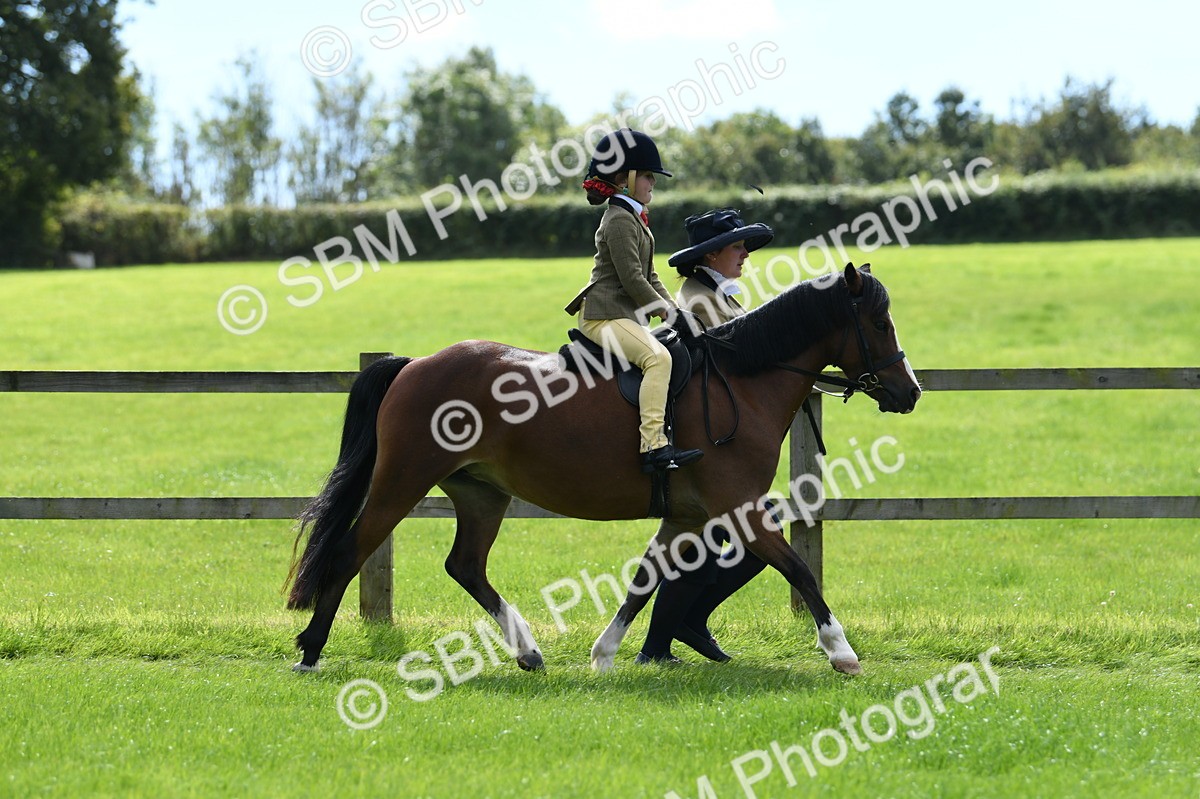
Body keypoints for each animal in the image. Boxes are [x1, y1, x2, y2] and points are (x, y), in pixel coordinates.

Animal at [286, 263, 921, 674]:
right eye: (879, 324)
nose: (909, 392)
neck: (740, 381)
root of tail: (416, 363)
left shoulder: (687, 517)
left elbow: (644, 581)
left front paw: (604, 653)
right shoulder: (739, 510)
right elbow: (800, 570)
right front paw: (841, 652)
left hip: (480, 494)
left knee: (465, 566)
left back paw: (528, 651)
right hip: (401, 483)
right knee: (348, 552)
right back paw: (311, 650)